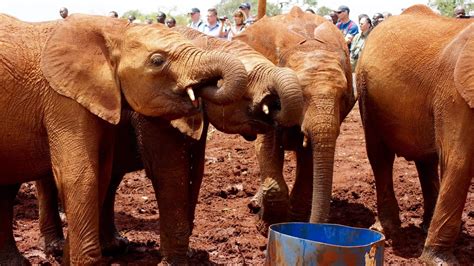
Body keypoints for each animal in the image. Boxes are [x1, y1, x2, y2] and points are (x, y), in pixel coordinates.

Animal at [0, 15, 250, 266]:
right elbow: (80, 175)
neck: (115, 31)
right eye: (157, 61)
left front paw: (69, 258)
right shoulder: (62, 99)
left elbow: (102, 173)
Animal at [35, 27, 306, 264]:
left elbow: (195, 173)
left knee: (110, 179)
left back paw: (114, 247)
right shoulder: (153, 111)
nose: (276, 107)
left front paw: (188, 254)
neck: (202, 44)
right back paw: (57, 248)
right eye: (248, 81)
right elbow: (170, 173)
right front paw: (174, 261)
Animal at [233, 6, 356, 231]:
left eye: (344, 97)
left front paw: (295, 217)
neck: (310, 46)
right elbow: (267, 147)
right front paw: (266, 225)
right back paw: (255, 205)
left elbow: (308, 155)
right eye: (300, 95)